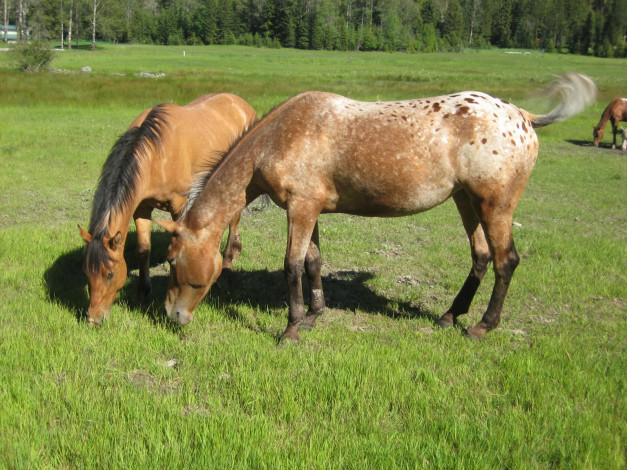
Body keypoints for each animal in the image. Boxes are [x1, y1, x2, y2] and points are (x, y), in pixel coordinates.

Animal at [78, 93, 258, 324]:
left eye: (109, 274)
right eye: (86, 272)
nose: (93, 318)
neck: (155, 155)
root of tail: (241, 103)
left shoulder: (179, 207)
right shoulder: (141, 208)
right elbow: (144, 249)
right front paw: (143, 292)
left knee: (233, 220)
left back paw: (227, 261)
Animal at [155, 74, 596, 346]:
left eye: (173, 260)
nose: (171, 316)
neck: (279, 137)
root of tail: (522, 116)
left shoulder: (300, 208)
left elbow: (292, 266)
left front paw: (291, 330)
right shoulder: (311, 210)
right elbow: (313, 262)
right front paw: (314, 316)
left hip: (494, 204)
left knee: (506, 260)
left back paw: (482, 327)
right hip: (466, 201)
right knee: (482, 256)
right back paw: (450, 316)